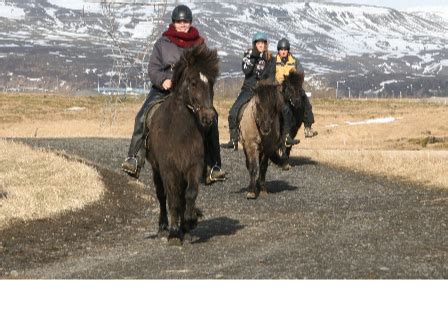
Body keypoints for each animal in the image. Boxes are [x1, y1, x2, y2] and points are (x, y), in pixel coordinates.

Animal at [144, 44, 220, 244]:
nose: (208, 117)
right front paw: (173, 233)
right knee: (162, 195)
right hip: (156, 168)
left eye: (211, 83)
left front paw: (189, 223)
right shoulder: (169, 168)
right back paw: (164, 227)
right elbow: (172, 199)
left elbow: (190, 193)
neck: (180, 132)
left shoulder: (193, 166)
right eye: (193, 82)